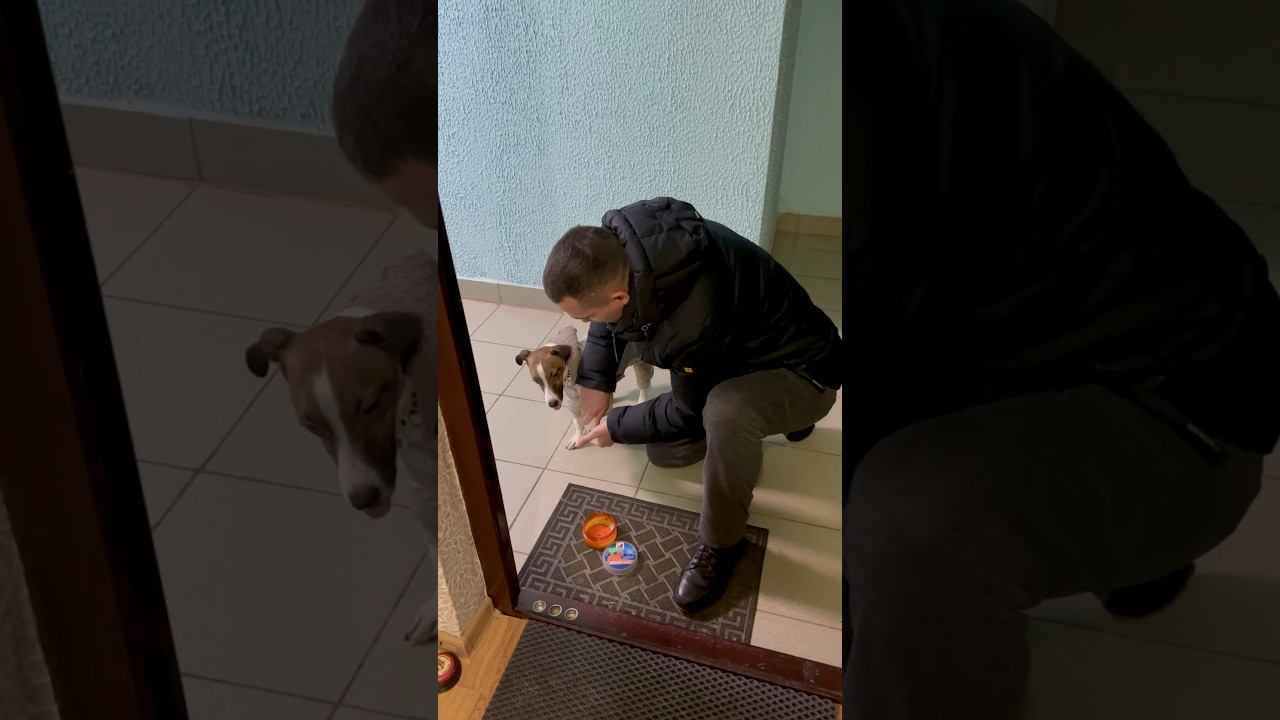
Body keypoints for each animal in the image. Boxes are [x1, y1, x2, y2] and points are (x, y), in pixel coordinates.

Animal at [516, 324, 654, 449]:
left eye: (555, 374)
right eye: (536, 380)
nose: (552, 403)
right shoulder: (572, 399)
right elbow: (577, 420)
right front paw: (578, 437)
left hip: (639, 361)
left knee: (643, 383)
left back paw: (641, 400)